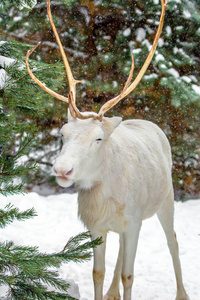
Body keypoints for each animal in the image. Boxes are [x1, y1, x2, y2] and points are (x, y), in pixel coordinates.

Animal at [25, 0, 189, 300]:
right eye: (62, 134)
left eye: (99, 138)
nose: (62, 169)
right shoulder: (97, 225)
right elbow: (97, 273)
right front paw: (106, 289)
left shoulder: (134, 221)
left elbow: (129, 275)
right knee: (123, 251)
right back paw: (113, 292)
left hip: (166, 199)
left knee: (173, 241)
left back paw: (181, 293)